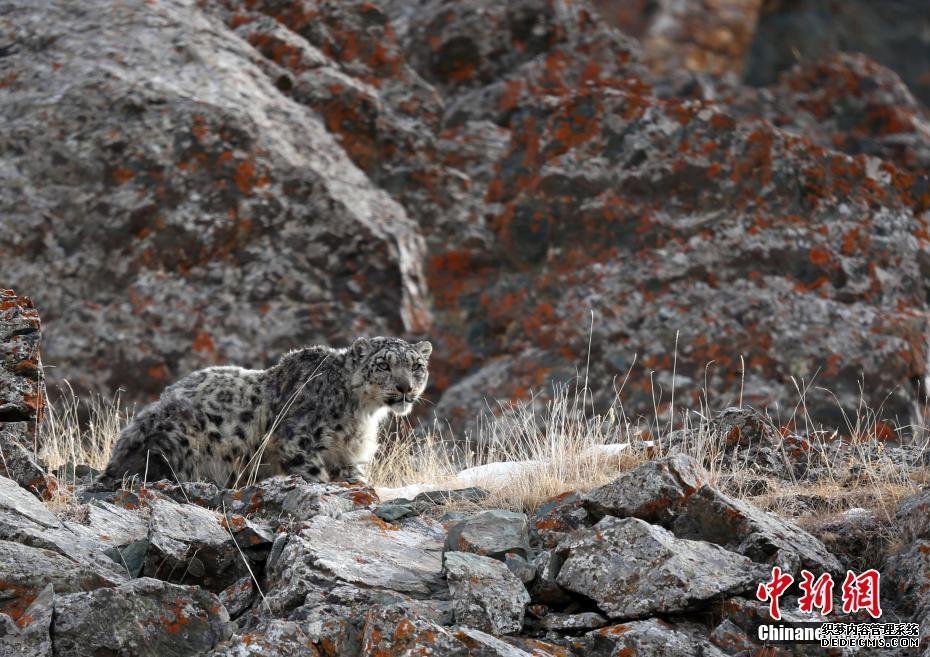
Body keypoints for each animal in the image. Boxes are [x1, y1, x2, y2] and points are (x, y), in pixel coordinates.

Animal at [94, 338, 432, 486]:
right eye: (384, 365)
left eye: (417, 365)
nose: (405, 387)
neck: (361, 413)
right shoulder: (297, 442)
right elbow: (315, 475)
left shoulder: (345, 456)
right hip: (176, 438)